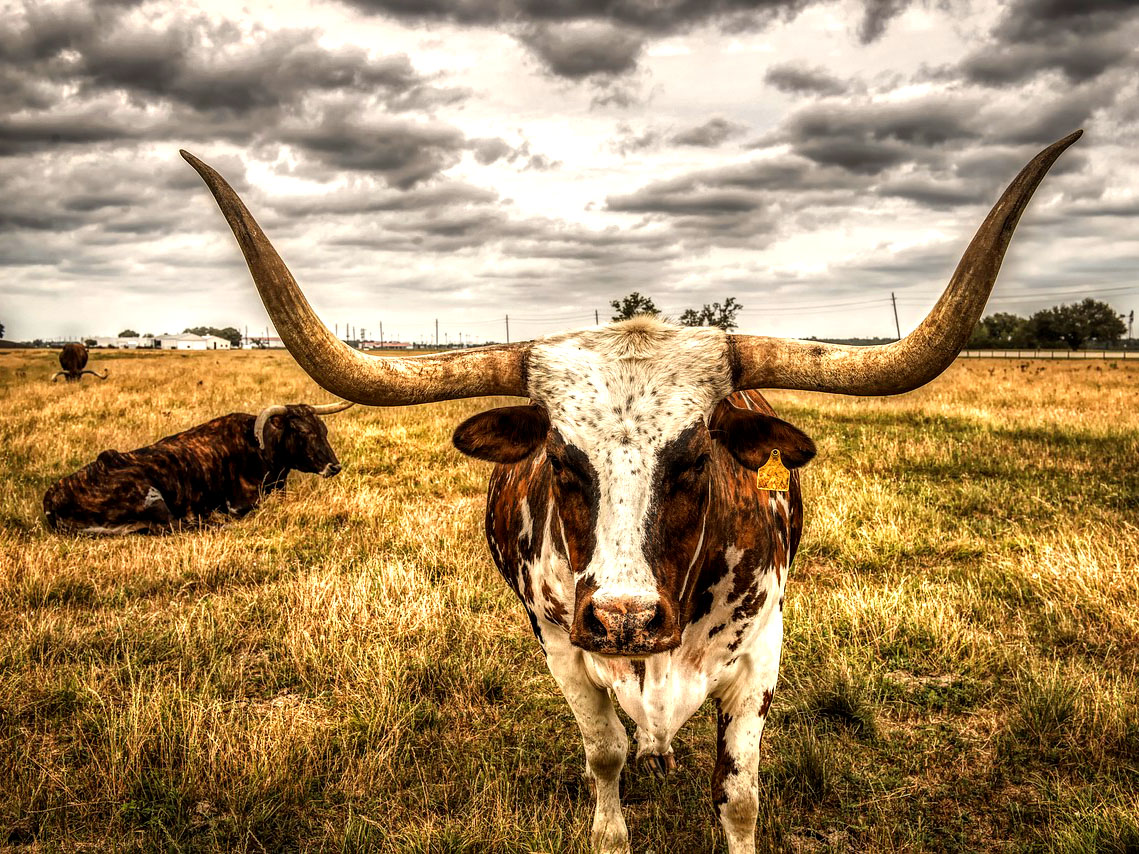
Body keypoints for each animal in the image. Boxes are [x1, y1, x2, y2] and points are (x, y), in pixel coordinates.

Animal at [43, 403, 350, 535]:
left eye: (323, 429)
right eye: (302, 431)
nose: (334, 466)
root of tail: (52, 494)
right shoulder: (240, 504)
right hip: (150, 495)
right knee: (175, 524)